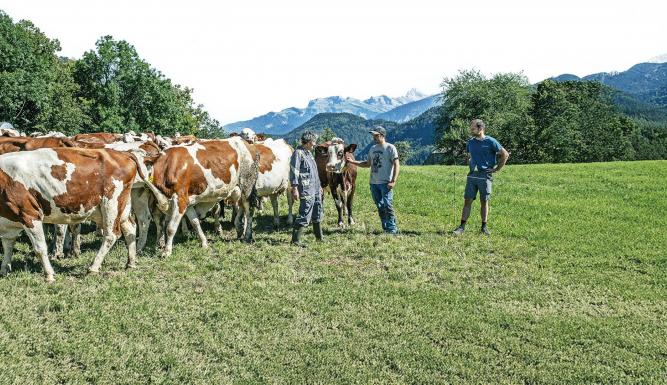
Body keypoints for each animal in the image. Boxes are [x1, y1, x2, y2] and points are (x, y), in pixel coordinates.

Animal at [0, 146, 138, 280]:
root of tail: (122, 154)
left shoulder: (30, 215)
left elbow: (39, 248)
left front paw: (49, 275)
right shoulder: (8, 222)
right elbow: (7, 245)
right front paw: (4, 270)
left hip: (111, 203)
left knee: (111, 235)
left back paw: (93, 268)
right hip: (119, 207)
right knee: (130, 228)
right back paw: (130, 263)